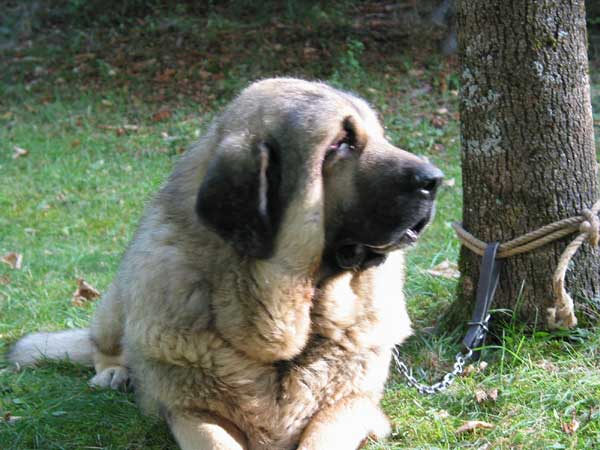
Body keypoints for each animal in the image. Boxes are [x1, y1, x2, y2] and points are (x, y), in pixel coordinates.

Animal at [8, 78, 440, 450]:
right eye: (342, 144)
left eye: (380, 136)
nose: (435, 179)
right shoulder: (187, 411)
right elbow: (213, 438)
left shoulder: (353, 404)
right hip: (118, 300)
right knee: (105, 344)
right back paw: (115, 371)